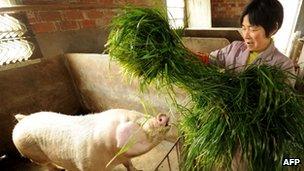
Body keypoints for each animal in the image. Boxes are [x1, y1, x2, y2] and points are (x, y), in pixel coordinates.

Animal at [11, 109, 171, 170]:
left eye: (142, 113)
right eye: (138, 123)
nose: (162, 115)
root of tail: (22, 120)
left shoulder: (124, 157)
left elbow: (129, 165)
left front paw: (138, 170)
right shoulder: (87, 165)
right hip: (31, 151)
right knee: (47, 164)